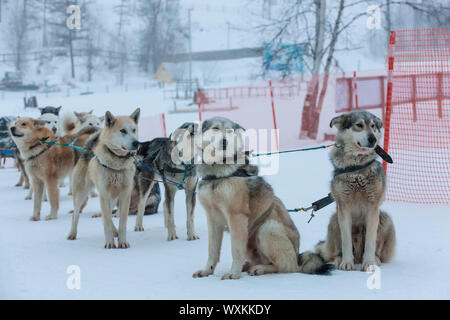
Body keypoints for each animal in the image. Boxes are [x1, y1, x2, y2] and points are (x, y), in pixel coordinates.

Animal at [67, 109, 139, 249]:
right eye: (122, 130)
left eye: (134, 130)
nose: (136, 143)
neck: (116, 165)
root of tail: (86, 150)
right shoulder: (104, 195)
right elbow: (106, 222)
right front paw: (110, 243)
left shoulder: (124, 196)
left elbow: (121, 223)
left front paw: (122, 242)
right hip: (81, 195)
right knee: (76, 214)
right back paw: (72, 233)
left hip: (113, 198)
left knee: (108, 216)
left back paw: (115, 232)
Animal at [192, 117, 332, 280]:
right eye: (215, 128)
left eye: (230, 131)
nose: (225, 142)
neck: (218, 172)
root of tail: (298, 256)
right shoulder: (213, 219)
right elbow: (212, 250)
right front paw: (207, 270)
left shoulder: (236, 217)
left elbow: (235, 250)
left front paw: (234, 273)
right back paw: (248, 266)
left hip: (268, 228)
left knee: (286, 266)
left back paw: (259, 269)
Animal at [314, 110, 396, 272]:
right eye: (359, 125)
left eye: (373, 126)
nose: (372, 139)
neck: (357, 169)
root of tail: (358, 256)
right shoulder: (344, 208)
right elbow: (346, 241)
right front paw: (347, 263)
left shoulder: (373, 208)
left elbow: (370, 241)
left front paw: (369, 263)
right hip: (334, 220)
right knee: (338, 251)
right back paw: (340, 260)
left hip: (386, 218)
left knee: (376, 249)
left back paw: (375, 260)